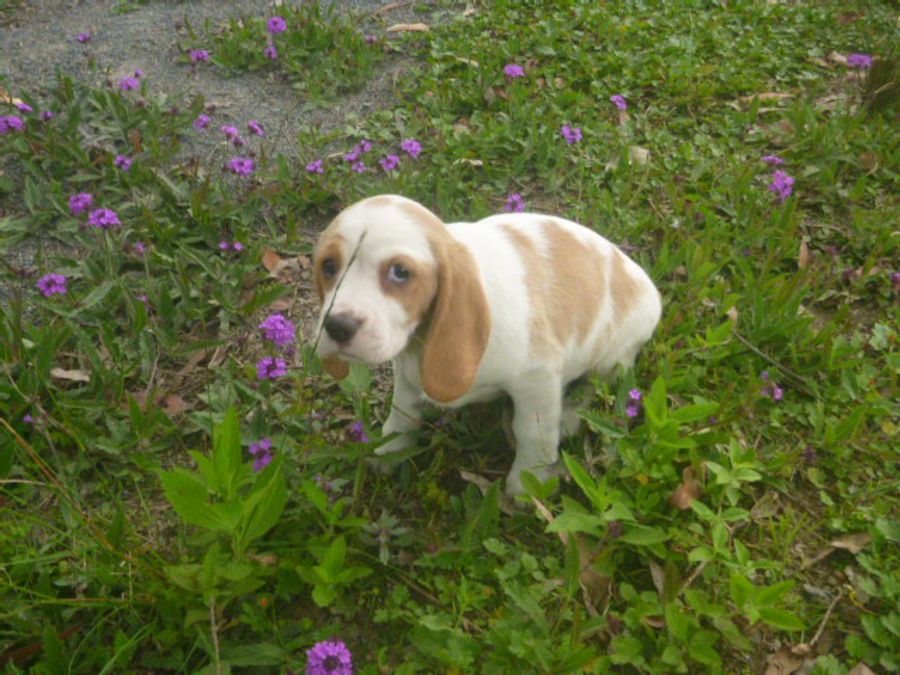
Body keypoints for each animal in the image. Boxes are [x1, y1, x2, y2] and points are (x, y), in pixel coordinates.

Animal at [313, 195, 661, 495]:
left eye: (400, 272)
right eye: (328, 266)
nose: (337, 326)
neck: (422, 341)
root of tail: (647, 284)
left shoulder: (537, 380)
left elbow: (531, 432)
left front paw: (527, 485)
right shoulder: (407, 373)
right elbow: (403, 413)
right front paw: (390, 450)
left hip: (614, 360)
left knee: (594, 388)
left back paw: (571, 418)